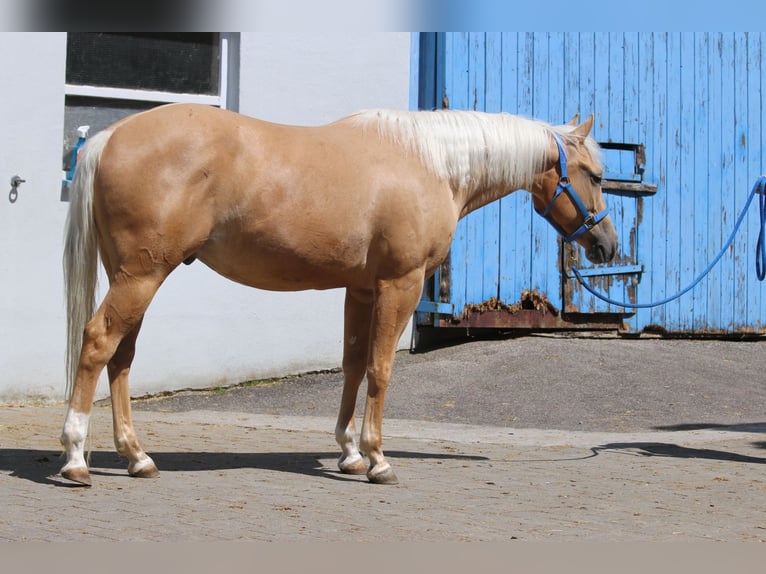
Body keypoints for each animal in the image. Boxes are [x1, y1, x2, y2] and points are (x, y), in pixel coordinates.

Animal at [59, 103, 618, 486]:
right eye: (594, 175)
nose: (607, 246)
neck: (431, 164)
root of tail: (110, 137)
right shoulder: (399, 283)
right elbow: (381, 367)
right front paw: (377, 459)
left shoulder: (361, 288)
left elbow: (352, 363)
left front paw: (349, 453)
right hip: (142, 275)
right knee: (97, 342)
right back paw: (75, 457)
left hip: (134, 275)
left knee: (121, 356)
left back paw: (137, 457)